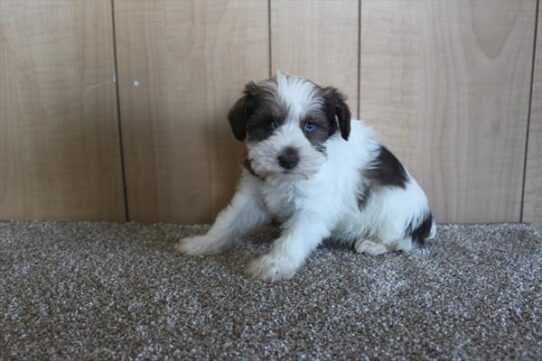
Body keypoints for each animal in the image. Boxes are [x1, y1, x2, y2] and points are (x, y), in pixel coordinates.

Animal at [178, 71, 438, 280]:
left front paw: (275, 263)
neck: (287, 179)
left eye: (310, 126)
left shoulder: (314, 208)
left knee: (403, 240)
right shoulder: (252, 194)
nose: (288, 159)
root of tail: (428, 222)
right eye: (270, 123)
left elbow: (294, 238)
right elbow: (227, 221)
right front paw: (203, 242)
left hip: (392, 209)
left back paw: (374, 244)